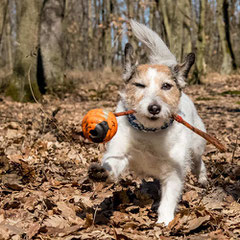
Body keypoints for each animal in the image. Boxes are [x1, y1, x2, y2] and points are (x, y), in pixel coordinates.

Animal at [89, 20, 207, 225]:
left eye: (166, 86)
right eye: (139, 85)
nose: (154, 108)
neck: (149, 133)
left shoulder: (174, 171)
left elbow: (169, 197)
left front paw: (165, 221)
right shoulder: (120, 152)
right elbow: (113, 163)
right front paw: (103, 171)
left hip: (196, 144)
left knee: (198, 160)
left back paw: (202, 177)